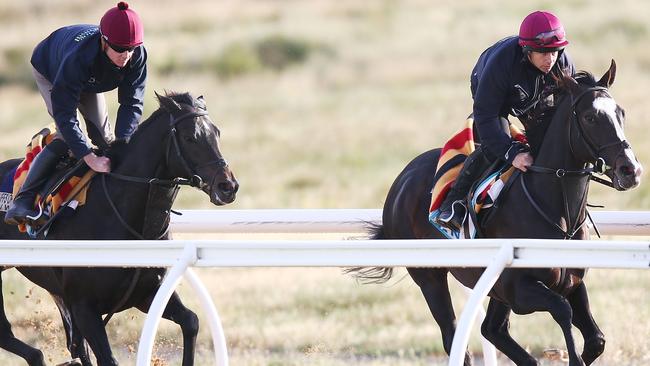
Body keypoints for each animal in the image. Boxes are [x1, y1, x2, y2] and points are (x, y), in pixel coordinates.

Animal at [0, 92, 238, 366]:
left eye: (217, 133)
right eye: (190, 137)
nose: (228, 186)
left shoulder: (146, 293)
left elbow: (191, 321)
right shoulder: (84, 308)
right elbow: (106, 358)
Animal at [346, 60, 640, 366]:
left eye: (621, 113)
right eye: (590, 117)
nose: (630, 170)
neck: (556, 210)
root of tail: (402, 180)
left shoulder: (569, 281)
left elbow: (596, 340)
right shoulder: (518, 288)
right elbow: (562, 310)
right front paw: (571, 357)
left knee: (492, 330)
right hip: (430, 277)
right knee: (454, 337)